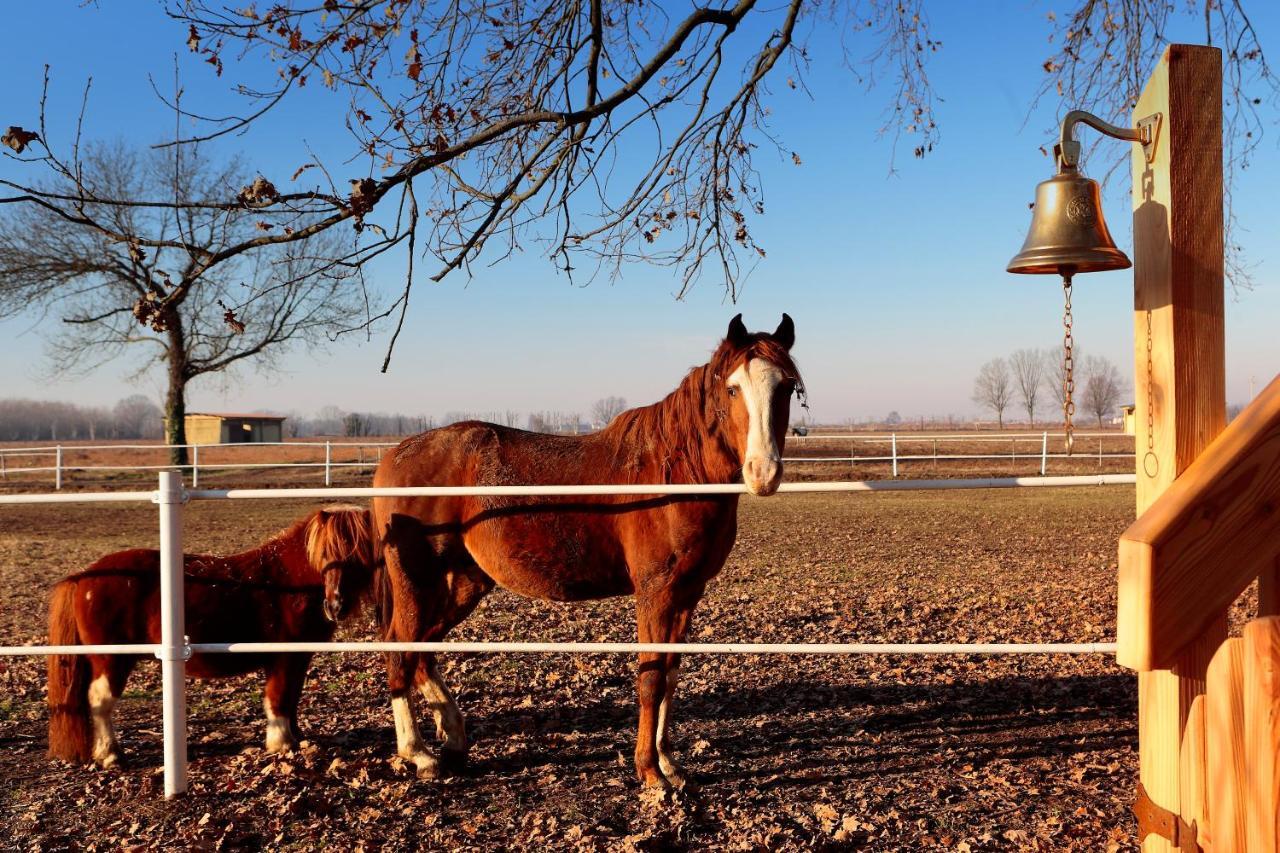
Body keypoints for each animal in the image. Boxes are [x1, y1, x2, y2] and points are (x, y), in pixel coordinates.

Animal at [47, 504, 376, 763]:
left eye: (359, 555)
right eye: (325, 555)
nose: (336, 605)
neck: (287, 581)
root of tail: (83, 576)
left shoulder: (299, 658)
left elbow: (292, 697)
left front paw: (297, 737)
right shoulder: (283, 658)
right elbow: (279, 698)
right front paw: (281, 743)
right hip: (111, 660)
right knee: (100, 701)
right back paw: (110, 754)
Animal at [371, 315, 798, 788]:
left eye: (787, 388)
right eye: (732, 389)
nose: (764, 472)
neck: (676, 472)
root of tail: (395, 456)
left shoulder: (688, 593)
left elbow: (670, 677)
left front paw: (669, 762)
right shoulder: (655, 593)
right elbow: (651, 679)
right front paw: (649, 772)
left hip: (464, 581)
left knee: (422, 648)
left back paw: (453, 738)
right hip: (415, 579)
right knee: (399, 648)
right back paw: (418, 753)